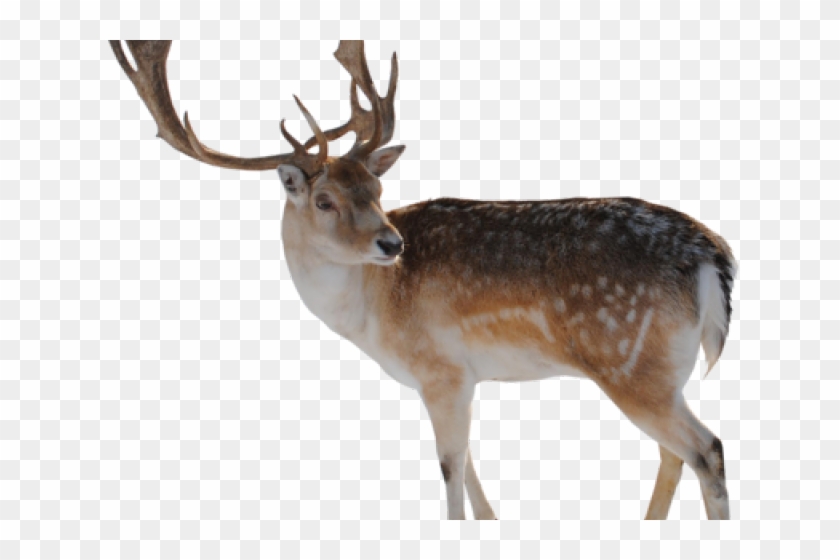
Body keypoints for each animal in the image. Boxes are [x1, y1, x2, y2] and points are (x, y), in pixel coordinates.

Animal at [110, 40, 736, 520]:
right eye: (325, 199)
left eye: (377, 189)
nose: (392, 244)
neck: (372, 316)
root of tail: (712, 256)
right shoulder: (458, 377)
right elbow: (472, 468)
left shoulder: (439, 368)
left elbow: (450, 469)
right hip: (657, 371)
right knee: (673, 453)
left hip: (628, 360)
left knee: (705, 448)